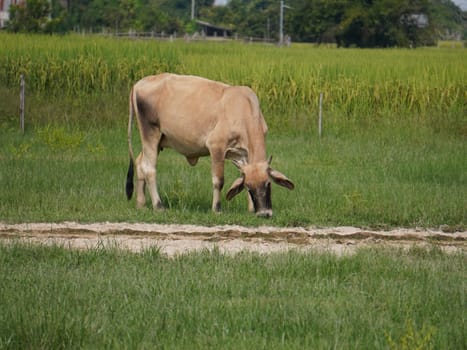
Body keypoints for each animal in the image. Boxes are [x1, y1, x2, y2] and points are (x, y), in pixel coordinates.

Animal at [124, 73, 292, 216]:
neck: (243, 109)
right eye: (250, 187)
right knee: (149, 168)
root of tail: (138, 83)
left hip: (158, 141)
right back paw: (158, 206)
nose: (264, 213)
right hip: (150, 134)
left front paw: (250, 209)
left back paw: (141, 204)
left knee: (139, 163)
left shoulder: (241, 155)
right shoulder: (216, 147)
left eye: (268, 183)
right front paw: (217, 209)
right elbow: (219, 180)